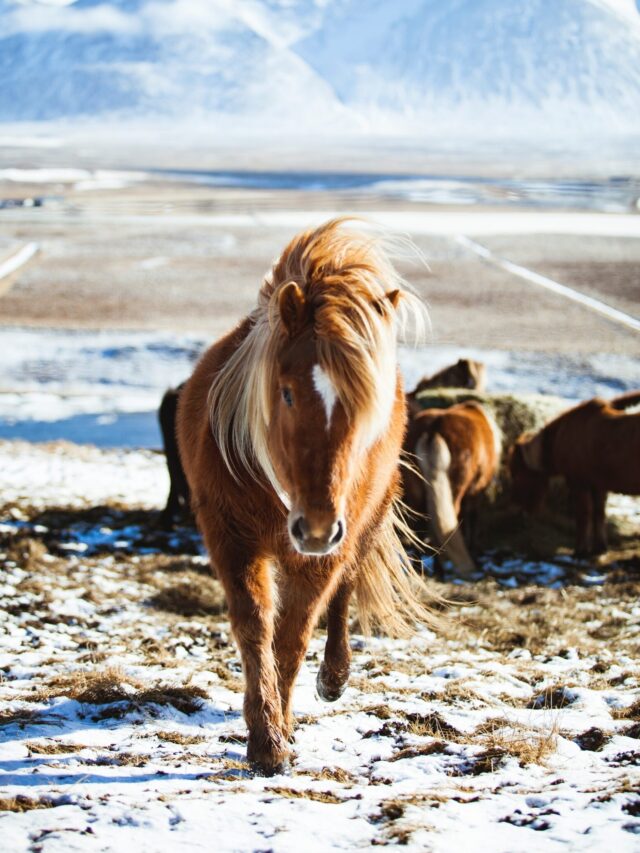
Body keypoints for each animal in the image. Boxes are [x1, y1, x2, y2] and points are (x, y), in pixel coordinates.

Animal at [175, 218, 436, 772]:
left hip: (361, 525)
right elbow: (255, 628)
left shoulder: (324, 553)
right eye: (287, 391)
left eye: (364, 405)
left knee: (345, 591)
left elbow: (293, 637)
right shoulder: (230, 539)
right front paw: (266, 738)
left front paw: (281, 730)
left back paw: (334, 678)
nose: (315, 527)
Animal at [402, 402, 502, 576]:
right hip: (454, 492)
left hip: (417, 494)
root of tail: (432, 430)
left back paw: (419, 569)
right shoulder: (476, 493)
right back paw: (440, 570)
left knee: (418, 526)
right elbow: (472, 520)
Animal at [510, 392, 640, 556]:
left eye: (517, 474)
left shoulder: (579, 482)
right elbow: (599, 514)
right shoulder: (598, 485)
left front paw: (580, 550)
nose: (516, 512)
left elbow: (583, 516)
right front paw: (599, 547)